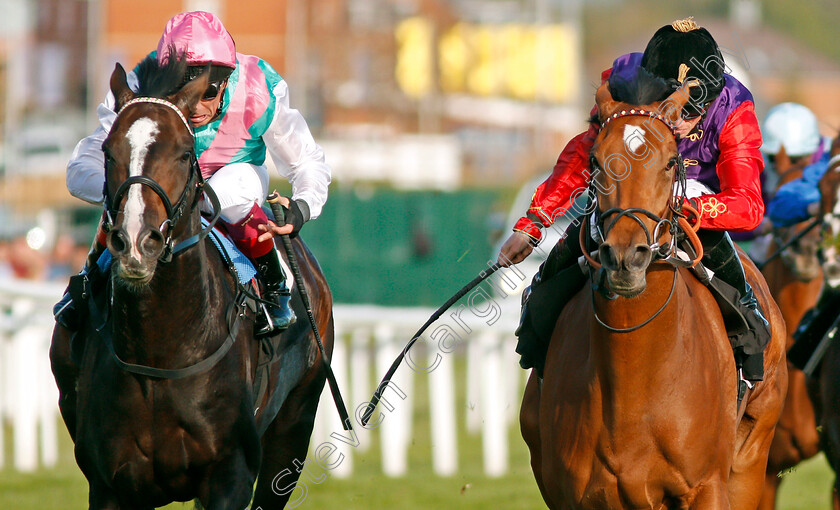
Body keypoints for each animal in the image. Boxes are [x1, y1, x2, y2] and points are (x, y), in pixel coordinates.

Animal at [520, 76, 792, 510]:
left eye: (668, 162)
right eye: (595, 162)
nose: (625, 257)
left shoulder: (707, 488)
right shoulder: (571, 493)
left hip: (751, 459)